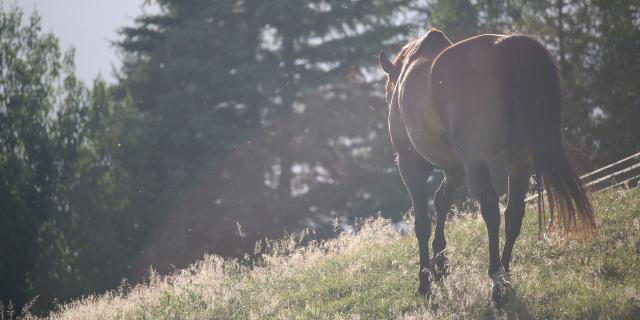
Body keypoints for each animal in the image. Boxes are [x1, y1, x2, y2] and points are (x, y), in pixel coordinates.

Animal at [380, 29, 596, 304]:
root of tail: (503, 45)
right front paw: (440, 266)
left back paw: (496, 279)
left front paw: (425, 280)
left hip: (476, 161)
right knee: (513, 212)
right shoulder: (455, 170)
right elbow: (441, 202)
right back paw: (505, 275)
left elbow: (422, 224)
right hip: (519, 158)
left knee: (491, 209)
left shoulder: (411, 166)